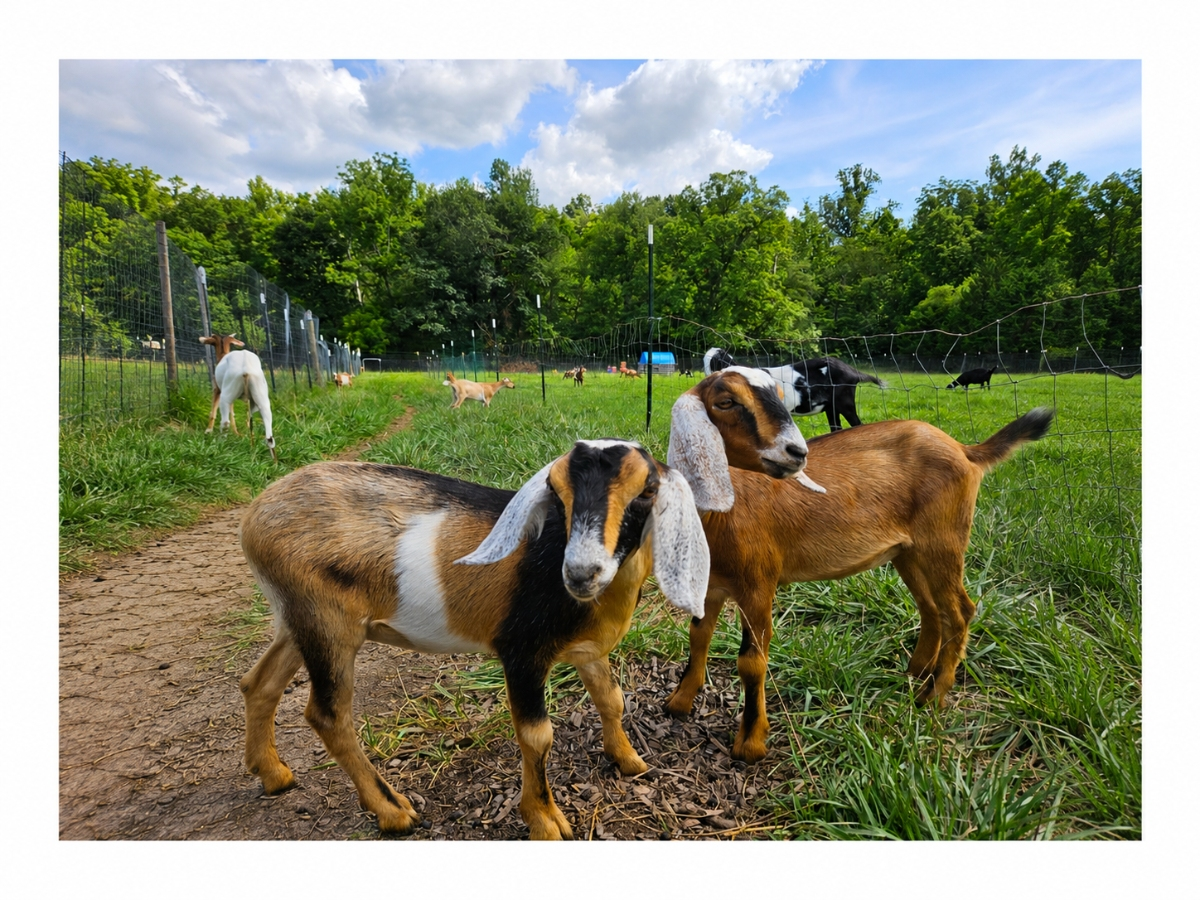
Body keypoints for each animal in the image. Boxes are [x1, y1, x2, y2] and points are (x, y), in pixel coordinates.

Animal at [198, 334, 277, 462]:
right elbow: (239, 416)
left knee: (225, 422)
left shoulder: (217, 390)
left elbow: (214, 411)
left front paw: (208, 431)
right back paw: (273, 461)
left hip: (226, 395)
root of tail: (245, 368)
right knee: (269, 435)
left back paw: (220, 448)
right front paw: (237, 434)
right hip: (262, 399)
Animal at [238, 440, 711, 839]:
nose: (581, 572)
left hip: (295, 617)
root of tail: (255, 515)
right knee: (328, 714)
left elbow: (611, 699)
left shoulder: (586, 650)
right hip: (329, 624)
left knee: (259, 683)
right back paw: (394, 812)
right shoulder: (522, 652)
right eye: (555, 491)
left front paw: (630, 761)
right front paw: (546, 822)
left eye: (647, 490)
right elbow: (538, 736)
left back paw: (274, 774)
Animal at [666, 369, 1053, 762]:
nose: (796, 453)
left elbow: (751, 661)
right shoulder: (711, 586)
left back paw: (932, 697)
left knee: (960, 611)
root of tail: (965, 450)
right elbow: (698, 636)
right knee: (931, 608)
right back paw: (916, 673)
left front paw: (751, 743)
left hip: (943, 541)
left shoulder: (758, 584)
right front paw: (679, 703)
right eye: (726, 402)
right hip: (908, 552)